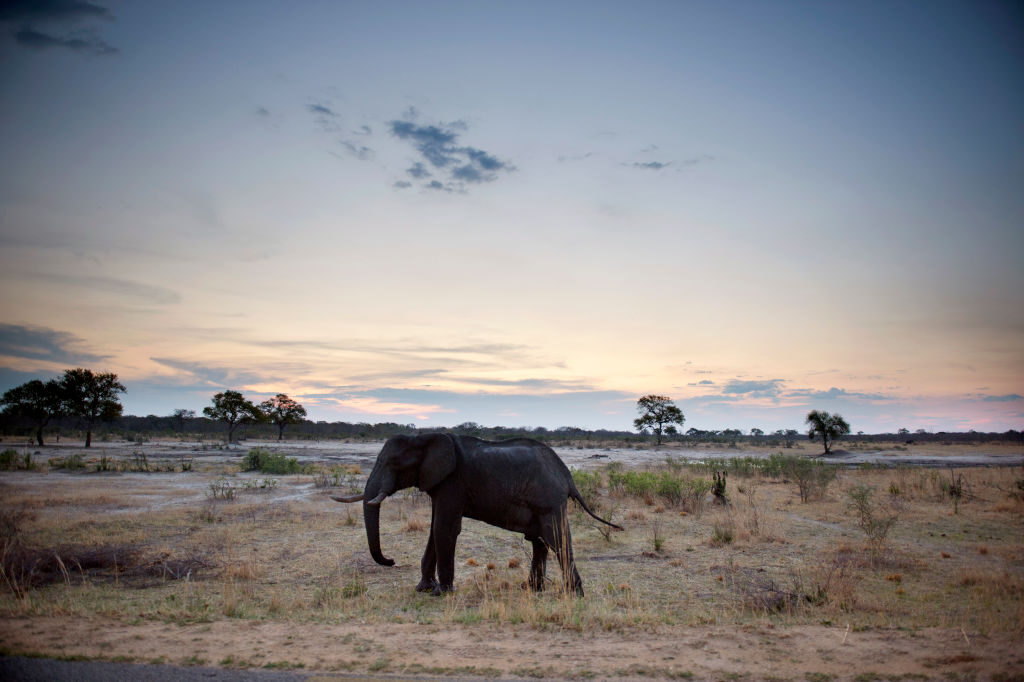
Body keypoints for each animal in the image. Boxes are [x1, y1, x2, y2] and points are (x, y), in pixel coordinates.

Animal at [335, 432, 618, 593]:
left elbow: (445, 528)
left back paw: (573, 594)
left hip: (549, 500)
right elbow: (435, 529)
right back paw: (531, 589)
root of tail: (568, 476)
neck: (424, 438)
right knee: (539, 542)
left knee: (556, 539)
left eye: (392, 463)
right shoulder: (440, 484)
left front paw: (443, 592)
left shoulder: (453, 481)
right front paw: (423, 589)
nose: (392, 560)